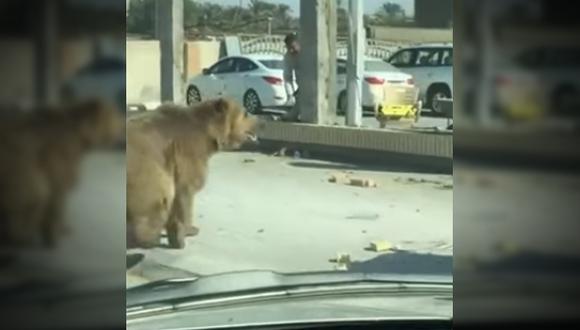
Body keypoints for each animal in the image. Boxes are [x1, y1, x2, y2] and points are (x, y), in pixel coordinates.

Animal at [127, 96, 258, 249]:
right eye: (246, 113)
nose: (262, 122)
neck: (209, 134)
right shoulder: (187, 153)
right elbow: (185, 193)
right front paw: (187, 231)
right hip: (145, 169)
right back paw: (151, 238)